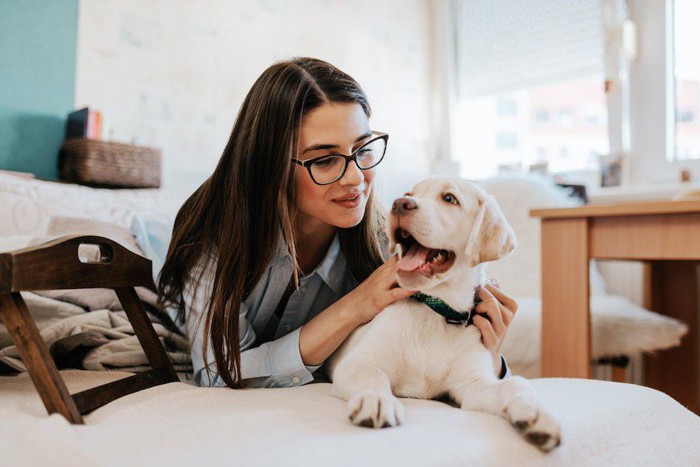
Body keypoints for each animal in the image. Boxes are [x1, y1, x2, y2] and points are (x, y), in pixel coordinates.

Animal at [326, 176, 560, 454]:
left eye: (449, 199)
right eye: (409, 194)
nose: (399, 204)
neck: (435, 311)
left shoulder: (473, 385)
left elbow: (515, 383)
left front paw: (537, 414)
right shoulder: (356, 362)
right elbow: (373, 374)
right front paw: (377, 401)